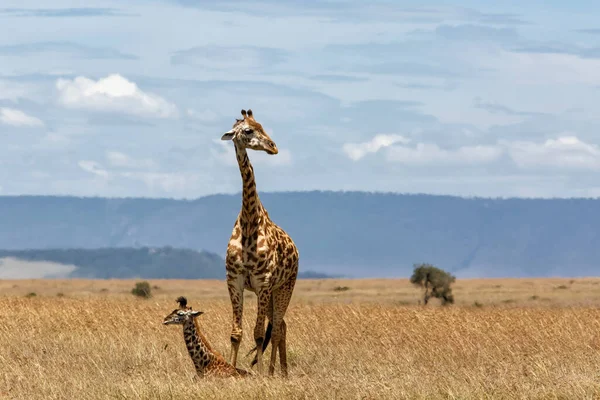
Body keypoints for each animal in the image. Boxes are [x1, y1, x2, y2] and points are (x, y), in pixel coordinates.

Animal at [219, 108, 298, 376]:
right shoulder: (234, 280)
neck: (249, 223)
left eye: (262, 126)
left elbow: (258, 334)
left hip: (284, 287)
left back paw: (277, 372)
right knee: (280, 325)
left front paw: (261, 374)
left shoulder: (263, 282)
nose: (273, 147)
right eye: (247, 130)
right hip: (274, 291)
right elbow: (236, 333)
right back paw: (278, 370)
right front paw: (230, 369)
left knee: (278, 328)